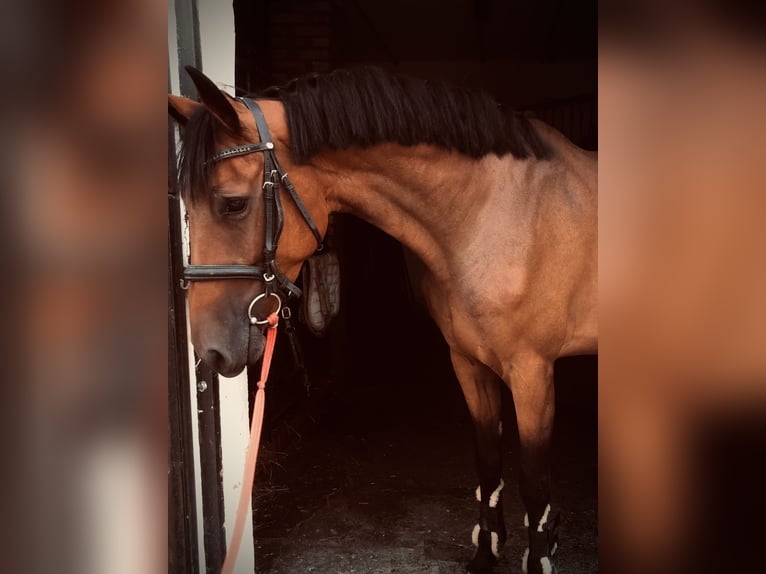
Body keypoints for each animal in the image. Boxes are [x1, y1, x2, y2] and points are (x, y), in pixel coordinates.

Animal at [169, 65, 597, 574]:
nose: (210, 351)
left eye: (232, 203)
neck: (496, 215)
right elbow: (488, 458)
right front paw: (485, 554)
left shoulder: (532, 372)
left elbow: (534, 483)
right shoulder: (469, 363)